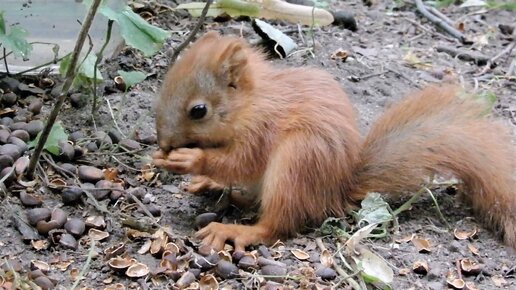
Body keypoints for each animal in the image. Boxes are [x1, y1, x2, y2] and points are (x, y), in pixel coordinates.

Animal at [153, 31, 516, 253]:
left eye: (199, 111)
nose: (163, 142)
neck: (251, 104)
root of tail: (335, 191)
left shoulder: (261, 131)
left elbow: (240, 161)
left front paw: (190, 160)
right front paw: (183, 166)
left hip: (296, 163)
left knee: (277, 223)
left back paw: (237, 230)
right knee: (254, 200)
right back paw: (219, 190)